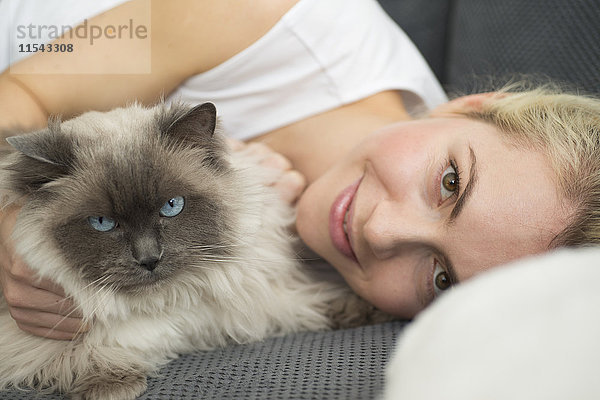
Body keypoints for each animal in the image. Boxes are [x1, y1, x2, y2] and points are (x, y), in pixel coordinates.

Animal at [0, 103, 390, 400]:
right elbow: (86, 354)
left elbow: (308, 305)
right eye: (102, 222)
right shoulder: (29, 339)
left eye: (172, 206)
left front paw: (367, 311)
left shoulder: (261, 303)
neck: (169, 300)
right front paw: (112, 386)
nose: (149, 259)